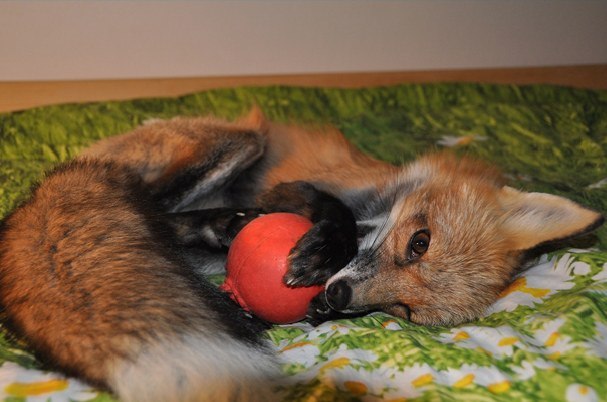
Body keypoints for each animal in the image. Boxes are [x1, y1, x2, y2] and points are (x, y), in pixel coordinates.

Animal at [0, 107, 604, 402]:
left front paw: (315, 301)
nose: (336, 294)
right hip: (240, 141)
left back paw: (223, 253)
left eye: (404, 311)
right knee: (151, 207)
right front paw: (317, 253)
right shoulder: (292, 191)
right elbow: (335, 214)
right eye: (419, 243)